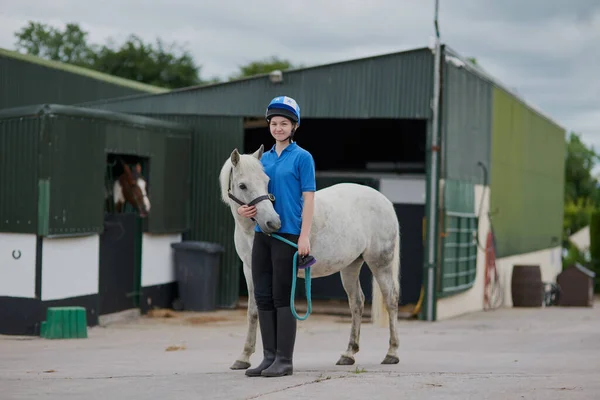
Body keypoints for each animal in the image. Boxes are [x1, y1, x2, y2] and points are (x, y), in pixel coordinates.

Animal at [218, 145, 400, 368]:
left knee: (391, 299)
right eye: (242, 185)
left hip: (380, 263)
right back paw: (348, 354)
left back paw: (392, 353)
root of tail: (385, 201)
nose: (273, 223)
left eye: (266, 181)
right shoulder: (251, 269)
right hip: (350, 266)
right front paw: (243, 357)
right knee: (356, 302)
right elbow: (253, 310)